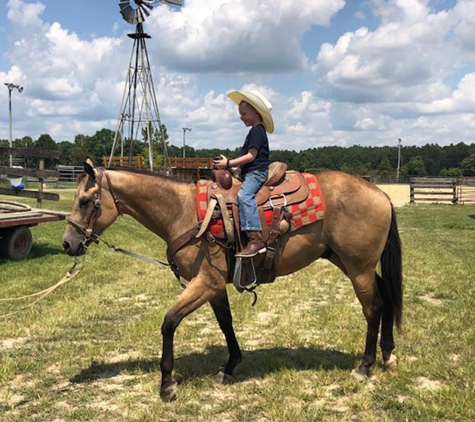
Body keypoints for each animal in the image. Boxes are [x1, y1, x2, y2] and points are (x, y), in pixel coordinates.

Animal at [62, 157, 402, 400]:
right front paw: (229, 366)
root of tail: (381, 195)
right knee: (386, 298)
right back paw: (387, 355)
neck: (183, 212)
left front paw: (167, 383)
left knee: (372, 308)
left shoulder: (206, 282)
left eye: (85, 201)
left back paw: (365, 365)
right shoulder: (213, 286)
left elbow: (169, 322)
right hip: (349, 262)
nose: (68, 244)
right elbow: (225, 323)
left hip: (358, 268)